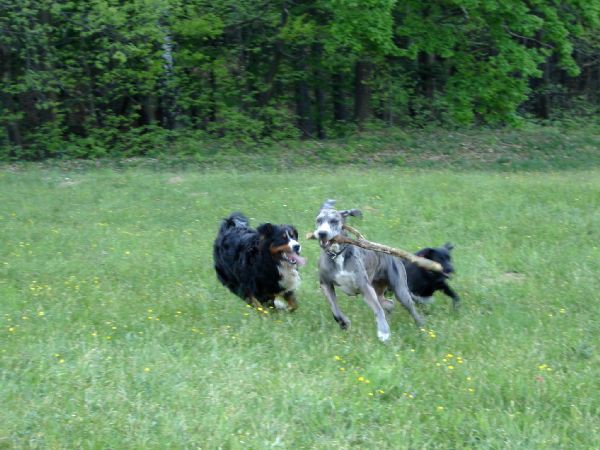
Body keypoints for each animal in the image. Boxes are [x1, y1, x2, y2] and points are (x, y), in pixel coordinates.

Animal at [312, 200, 424, 342]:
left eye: (334, 221)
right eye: (319, 220)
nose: (322, 233)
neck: (337, 255)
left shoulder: (364, 286)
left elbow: (377, 309)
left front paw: (383, 332)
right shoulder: (325, 284)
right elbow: (335, 310)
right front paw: (344, 323)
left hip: (400, 291)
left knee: (410, 309)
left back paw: (421, 326)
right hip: (379, 291)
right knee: (389, 304)